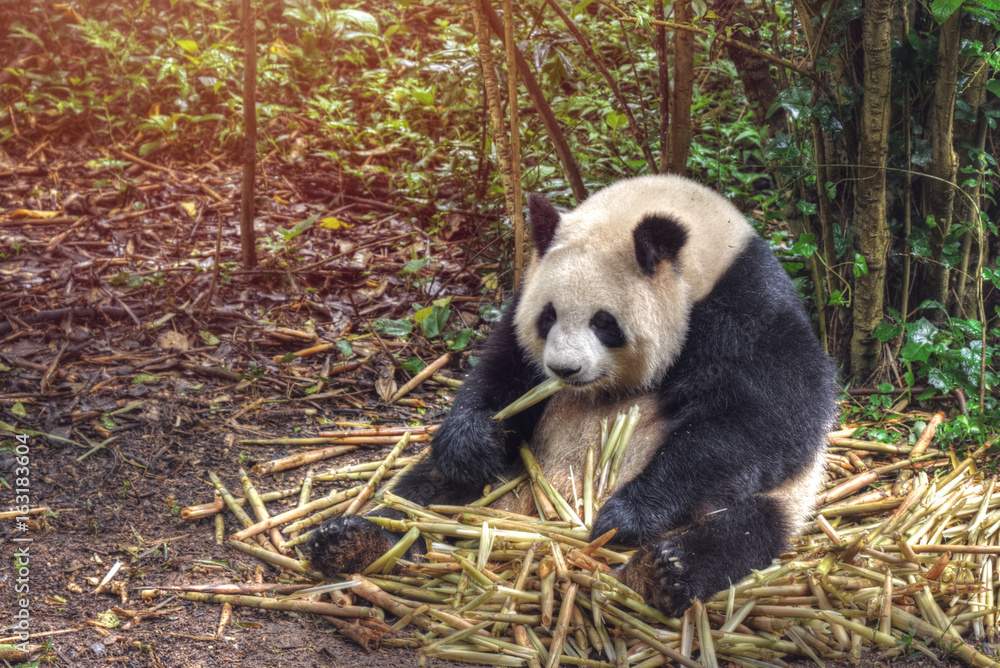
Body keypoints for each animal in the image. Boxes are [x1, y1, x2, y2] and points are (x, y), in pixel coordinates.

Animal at [310, 174, 838, 616]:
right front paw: (471, 443)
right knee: (421, 497)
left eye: (605, 323)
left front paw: (627, 514)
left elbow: (767, 420)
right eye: (548, 316)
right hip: (511, 471)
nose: (565, 369)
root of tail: (531, 513)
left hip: (771, 503)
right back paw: (354, 539)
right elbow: (504, 371)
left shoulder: (750, 308)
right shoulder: (523, 302)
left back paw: (663, 571)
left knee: (740, 529)